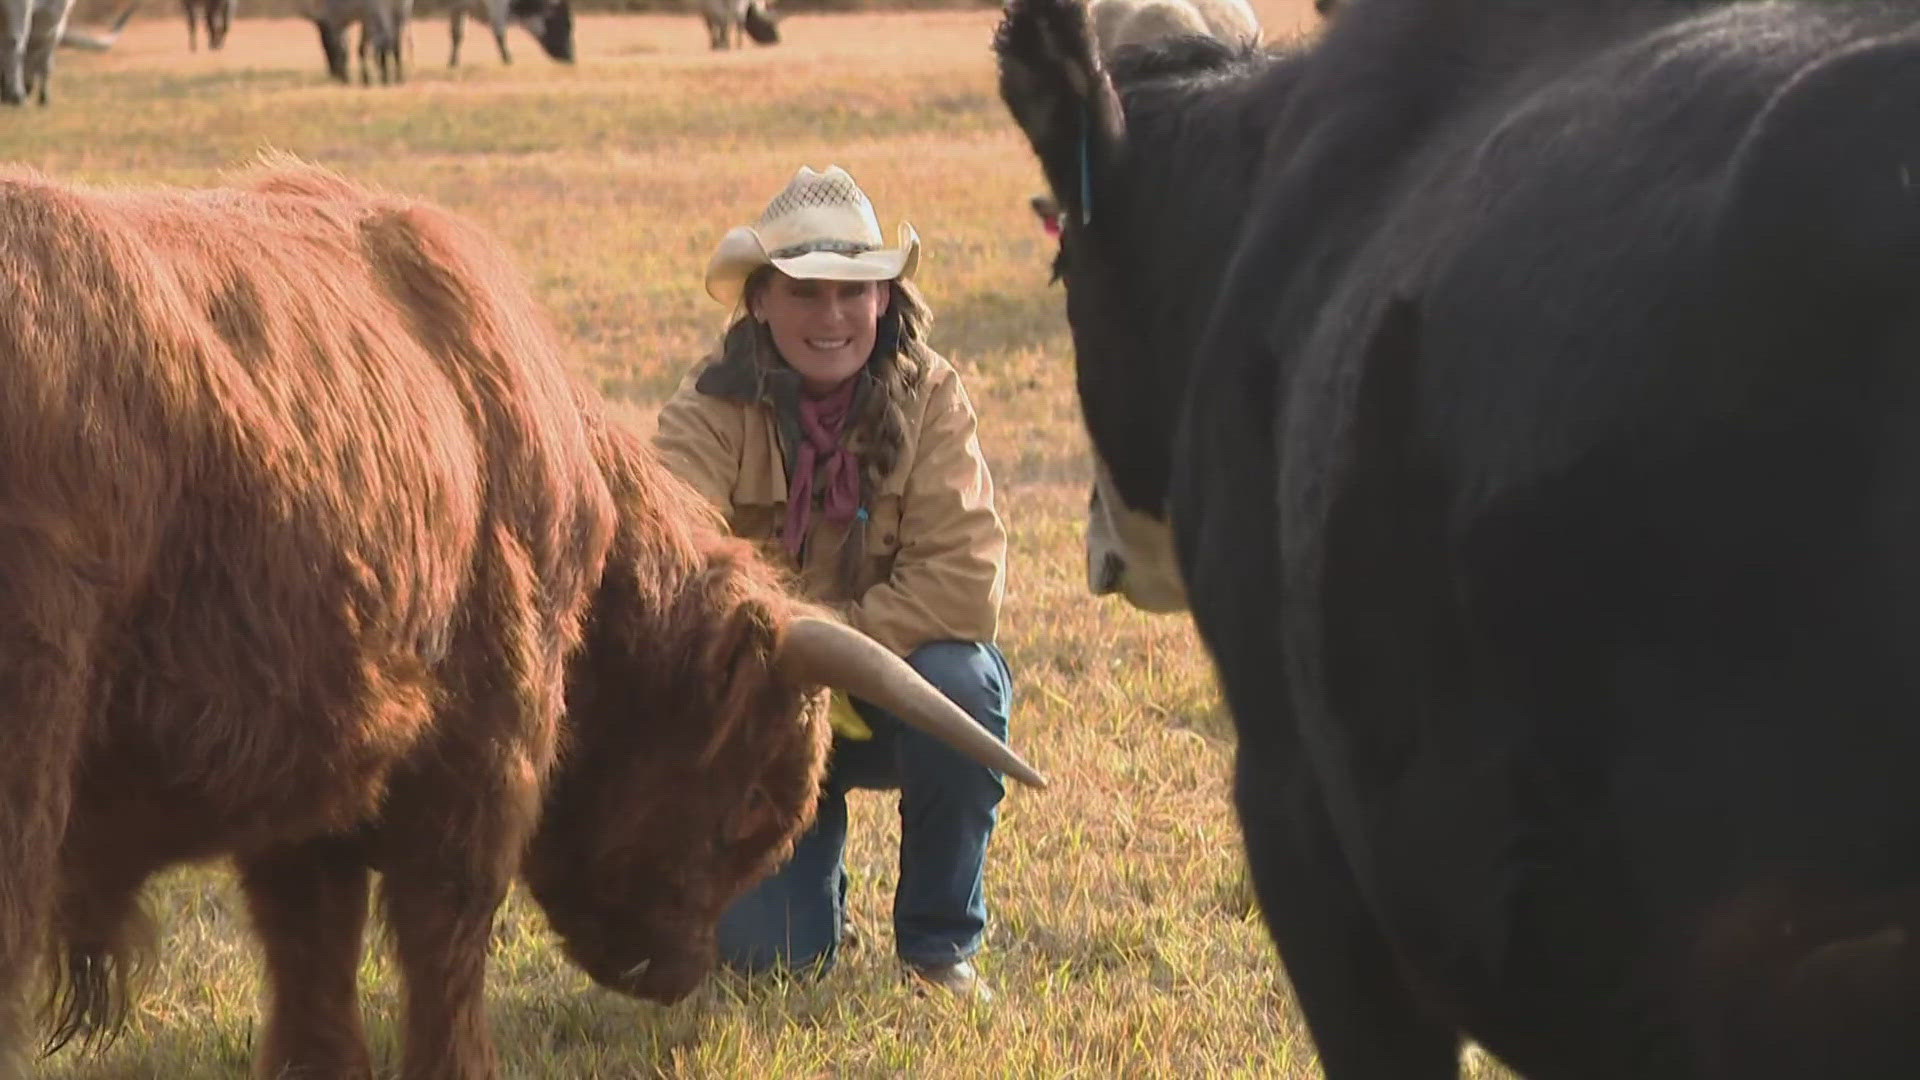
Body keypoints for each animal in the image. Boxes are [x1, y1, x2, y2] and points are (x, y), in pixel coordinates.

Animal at [0, 159, 1044, 1076]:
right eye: (751, 800)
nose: (675, 973)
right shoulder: (484, 750)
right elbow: (444, 947)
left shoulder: (318, 783)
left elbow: (313, 971)